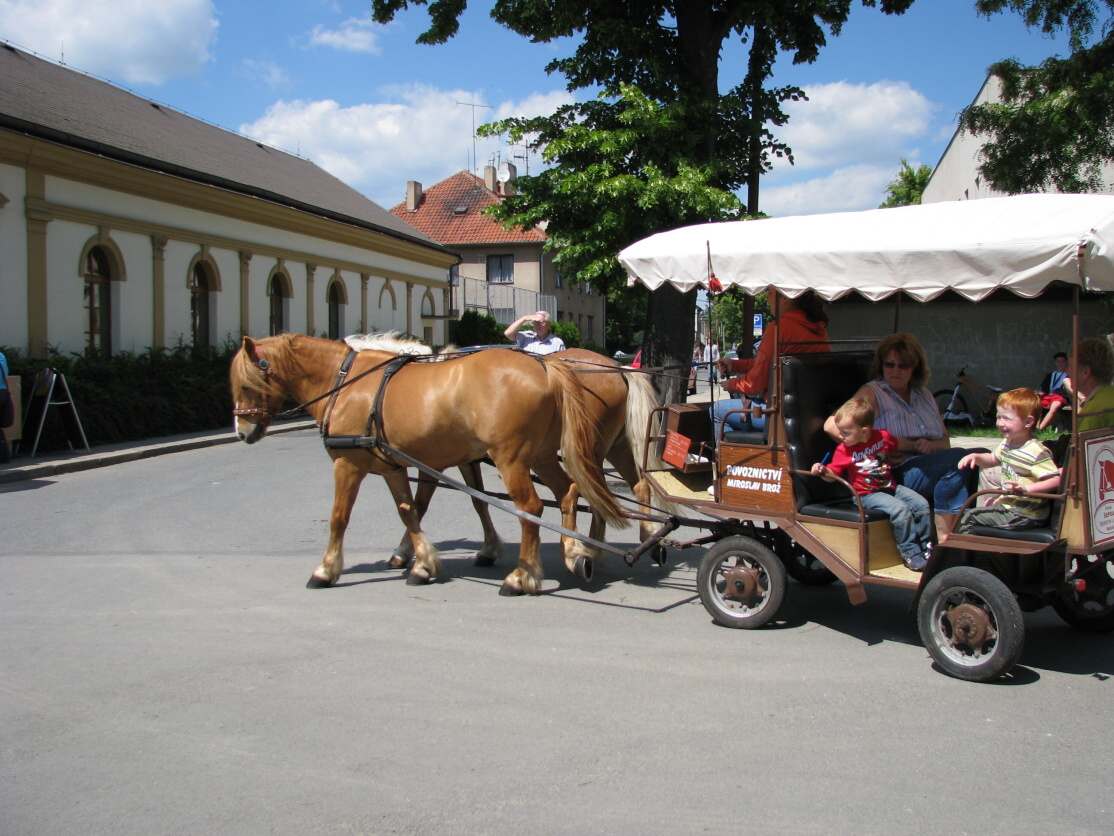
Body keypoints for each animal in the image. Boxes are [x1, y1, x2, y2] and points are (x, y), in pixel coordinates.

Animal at [229, 334, 623, 597]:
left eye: (246, 384)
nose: (242, 430)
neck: (346, 382)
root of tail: (546, 367)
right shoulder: (398, 466)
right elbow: (411, 511)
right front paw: (422, 563)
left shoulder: (348, 464)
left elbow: (340, 518)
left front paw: (326, 570)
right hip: (541, 456)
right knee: (568, 492)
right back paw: (575, 553)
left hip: (512, 459)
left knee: (531, 507)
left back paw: (522, 576)